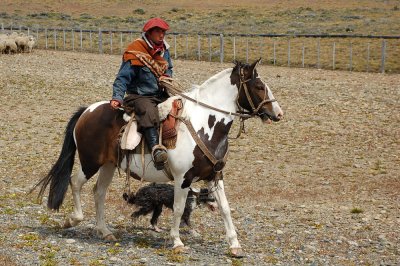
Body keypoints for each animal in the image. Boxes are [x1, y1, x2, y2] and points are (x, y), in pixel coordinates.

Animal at [35, 58, 284, 258]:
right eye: (259, 86)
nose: (278, 113)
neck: (205, 124)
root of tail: (88, 110)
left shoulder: (215, 176)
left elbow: (225, 208)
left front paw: (234, 245)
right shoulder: (183, 178)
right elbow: (178, 208)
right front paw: (177, 242)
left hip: (108, 165)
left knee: (99, 192)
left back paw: (105, 231)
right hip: (90, 162)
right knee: (75, 183)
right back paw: (73, 220)